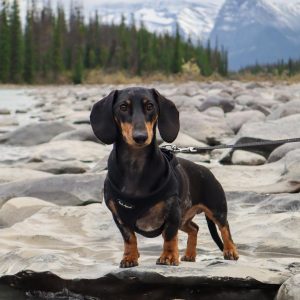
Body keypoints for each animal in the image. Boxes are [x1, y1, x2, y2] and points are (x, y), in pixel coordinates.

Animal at [89, 86, 239, 268]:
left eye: (150, 106)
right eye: (123, 107)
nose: (140, 137)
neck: (135, 166)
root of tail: (206, 170)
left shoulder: (172, 212)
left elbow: (169, 236)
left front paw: (168, 257)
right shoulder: (119, 218)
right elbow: (129, 238)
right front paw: (129, 258)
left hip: (216, 209)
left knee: (225, 227)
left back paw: (230, 251)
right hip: (184, 218)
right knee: (194, 228)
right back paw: (189, 255)